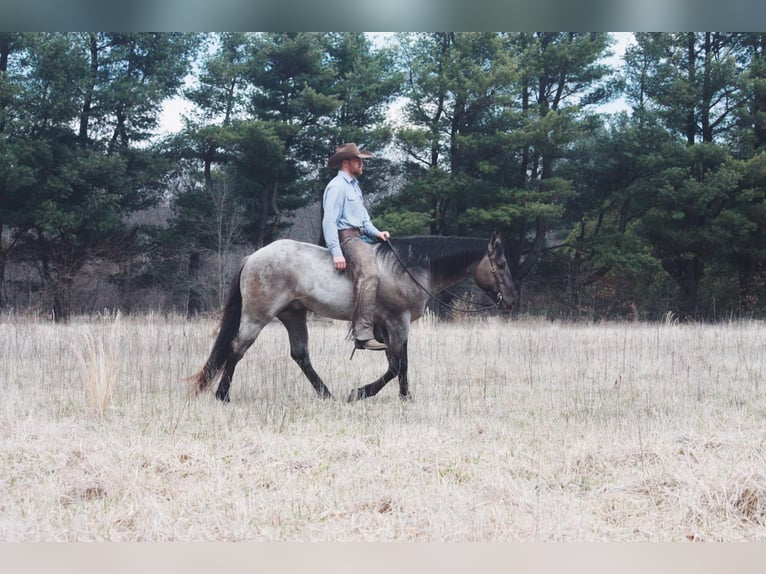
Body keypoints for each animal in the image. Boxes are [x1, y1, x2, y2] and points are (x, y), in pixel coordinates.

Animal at [189, 232, 520, 402]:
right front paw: (364, 393)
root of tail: (253, 257)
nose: (512, 300)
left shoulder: (386, 328)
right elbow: (398, 365)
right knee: (236, 349)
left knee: (300, 356)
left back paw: (326, 395)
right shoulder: (397, 323)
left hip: (293, 315)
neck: (409, 268)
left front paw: (399, 396)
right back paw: (222, 395)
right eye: (502, 264)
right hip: (258, 316)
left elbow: (397, 363)